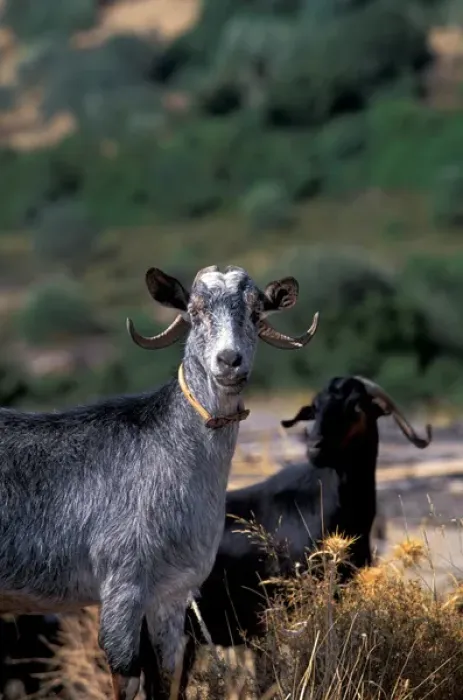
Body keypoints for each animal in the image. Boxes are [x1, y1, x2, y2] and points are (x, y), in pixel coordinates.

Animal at [0, 265, 318, 700]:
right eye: (194, 311)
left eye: (256, 313)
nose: (229, 361)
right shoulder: (123, 585)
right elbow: (125, 678)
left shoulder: (171, 594)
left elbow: (166, 679)